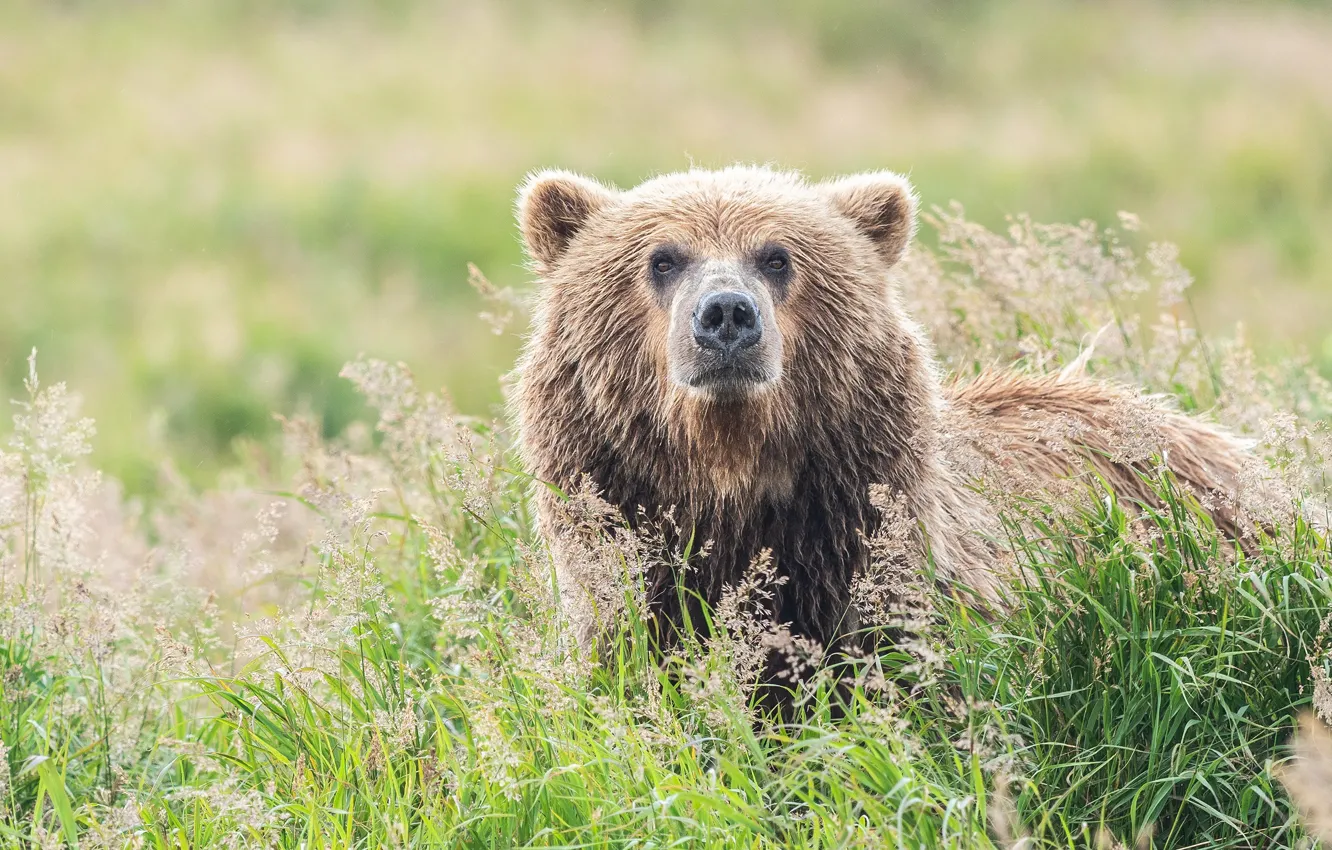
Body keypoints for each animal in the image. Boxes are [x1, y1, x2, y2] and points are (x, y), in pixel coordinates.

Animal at [512, 165, 1252, 672]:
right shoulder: (627, 555)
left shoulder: (870, 555)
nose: (725, 315)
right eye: (663, 258)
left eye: (776, 256)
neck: (732, 472)